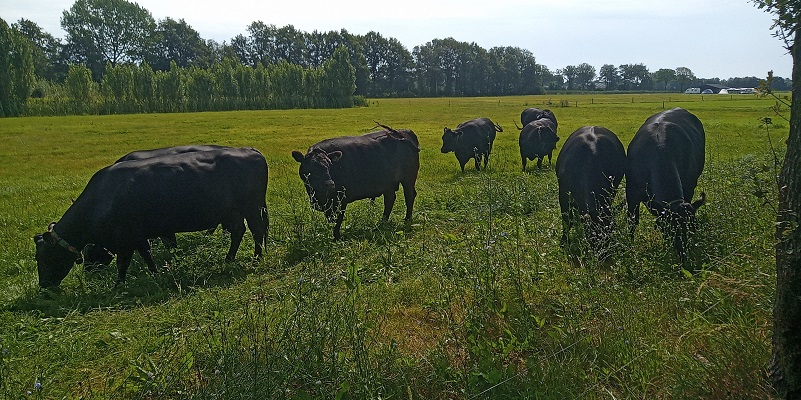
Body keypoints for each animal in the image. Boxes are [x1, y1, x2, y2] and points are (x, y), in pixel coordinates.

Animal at [33, 147, 268, 288]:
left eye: (43, 257)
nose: (44, 286)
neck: (102, 198)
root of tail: (250, 150)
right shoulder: (138, 236)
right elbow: (147, 254)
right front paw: (156, 274)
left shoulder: (126, 240)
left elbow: (123, 264)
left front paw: (118, 285)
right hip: (233, 211)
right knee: (238, 232)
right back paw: (228, 259)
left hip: (250, 207)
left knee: (256, 231)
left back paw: (256, 259)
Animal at [624, 107, 708, 262]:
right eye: (669, 229)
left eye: (692, 229)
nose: (682, 255)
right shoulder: (632, 193)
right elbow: (632, 222)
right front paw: (631, 249)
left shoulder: (689, 188)